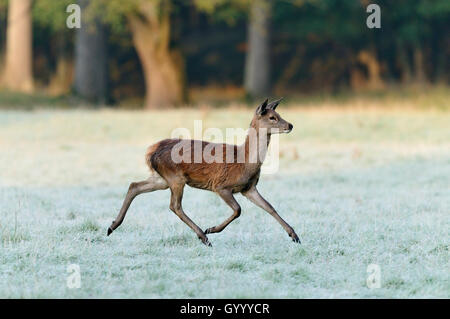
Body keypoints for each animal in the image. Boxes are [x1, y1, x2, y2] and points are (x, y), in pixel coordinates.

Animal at [107, 98, 300, 248]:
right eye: (272, 117)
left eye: (279, 115)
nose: (290, 125)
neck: (244, 162)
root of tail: (149, 152)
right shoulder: (221, 185)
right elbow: (238, 210)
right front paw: (212, 229)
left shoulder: (249, 188)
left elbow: (270, 207)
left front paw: (294, 235)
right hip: (175, 177)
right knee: (174, 205)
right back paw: (204, 236)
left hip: (161, 179)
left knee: (134, 186)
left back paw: (112, 226)